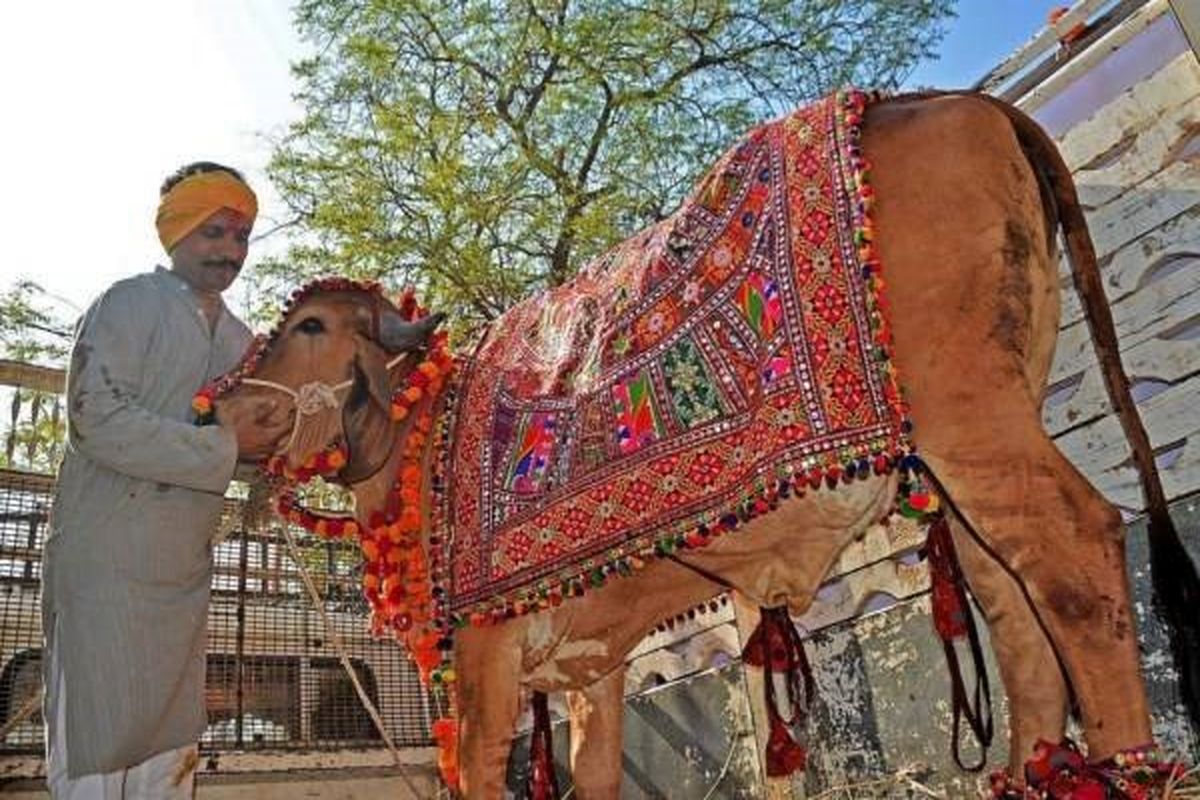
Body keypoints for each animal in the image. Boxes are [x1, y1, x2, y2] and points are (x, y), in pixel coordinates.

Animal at [201, 90, 1195, 796]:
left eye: (312, 326)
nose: (219, 405)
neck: (425, 438)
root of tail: (959, 99)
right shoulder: (588, 669)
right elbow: (595, 776)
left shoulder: (480, 667)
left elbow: (478, 774)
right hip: (972, 454)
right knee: (1015, 605)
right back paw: (1036, 771)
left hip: (975, 426)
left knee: (1078, 553)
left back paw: (1125, 769)